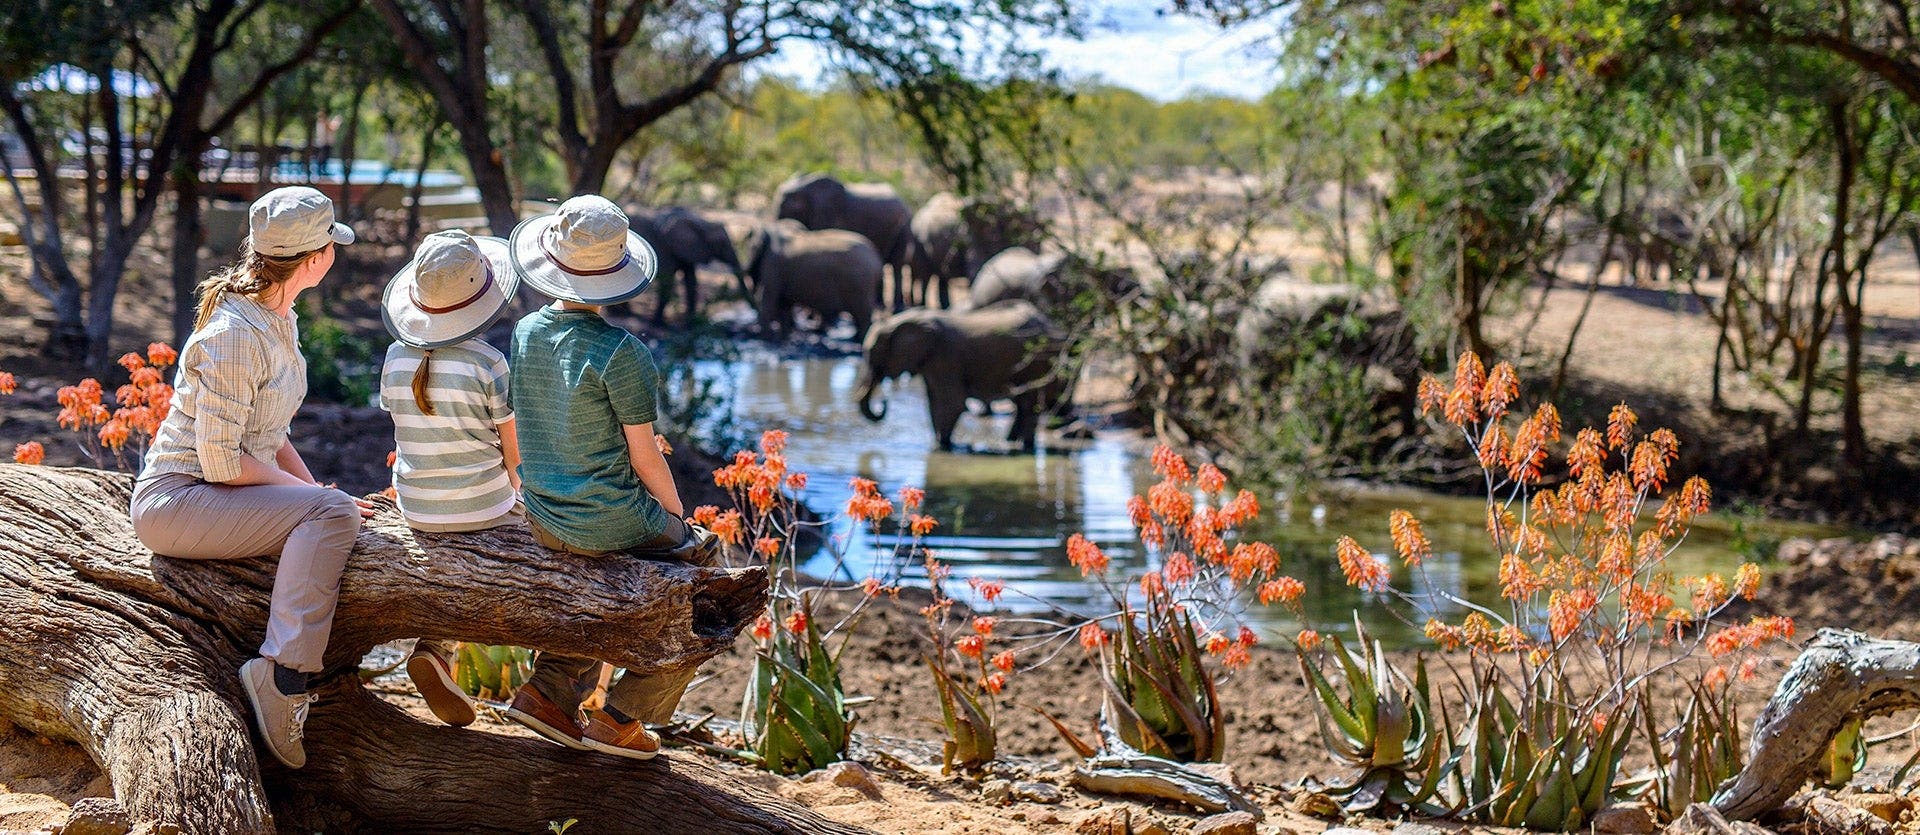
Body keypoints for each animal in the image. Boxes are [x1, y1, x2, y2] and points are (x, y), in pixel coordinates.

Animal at [744, 220, 879, 345]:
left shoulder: (772, 267)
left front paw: (766, 340)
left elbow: (769, 300)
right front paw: (783, 339)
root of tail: (876, 258)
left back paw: (861, 342)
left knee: (863, 316)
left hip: (859, 286)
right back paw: (856, 339)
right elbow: (784, 305)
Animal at [771, 173, 913, 314]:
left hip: (903, 227)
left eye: (787, 206)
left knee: (897, 264)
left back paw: (897, 309)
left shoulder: (832, 217)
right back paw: (879, 306)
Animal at [864, 301, 1075, 454]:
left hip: (1037, 361)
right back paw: (1012, 443)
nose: (883, 402)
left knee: (1029, 403)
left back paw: (1024, 447)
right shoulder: (933, 363)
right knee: (1023, 403)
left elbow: (953, 403)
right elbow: (933, 403)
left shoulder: (946, 358)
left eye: (873, 354)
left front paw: (942, 447)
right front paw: (939, 445)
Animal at [906, 192, 1044, 310]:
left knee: (942, 279)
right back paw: (923, 307)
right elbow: (976, 272)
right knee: (925, 275)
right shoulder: (972, 238)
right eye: (1016, 230)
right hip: (919, 237)